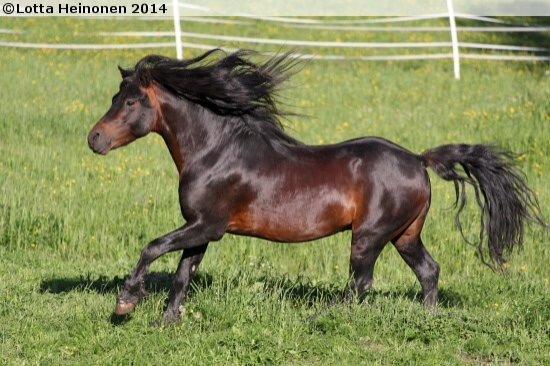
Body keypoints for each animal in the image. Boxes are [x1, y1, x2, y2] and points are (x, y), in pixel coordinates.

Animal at [88, 48, 544, 324]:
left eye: (131, 102)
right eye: (114, 96)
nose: (94, 139)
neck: (216, 152)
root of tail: (417, 159)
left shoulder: (207, 226)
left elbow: (153, 247)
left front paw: (125, 302)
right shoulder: (201, 229)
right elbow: (183, 273)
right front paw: (167, 320)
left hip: (370, 235)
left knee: (361, 282)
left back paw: (327, 318)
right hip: (405, 234)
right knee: (428, 272)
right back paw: (427, 318)